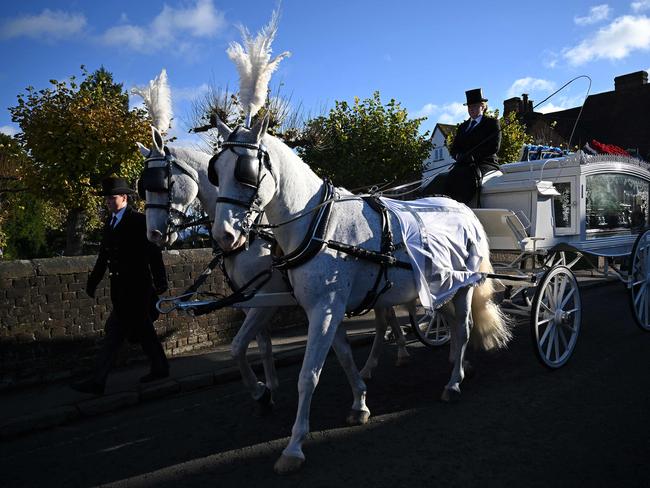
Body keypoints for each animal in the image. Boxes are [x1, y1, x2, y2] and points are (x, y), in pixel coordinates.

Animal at [210, 9, 508, 472]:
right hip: (439, 286)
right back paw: (459, 369)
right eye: (214, 171)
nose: (224, 235)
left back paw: (455, 381)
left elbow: (309, 375)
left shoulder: (325, 309)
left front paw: (294, 445)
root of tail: (464, 209)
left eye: (244, 171)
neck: (319, 225)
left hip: (461, 286)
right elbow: (344, 358)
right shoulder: (325, 308)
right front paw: (360, 404)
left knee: (460, 329)